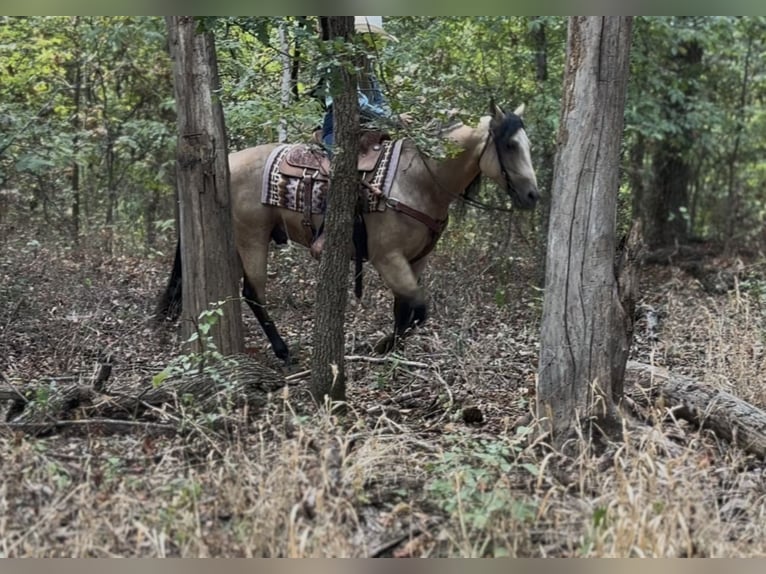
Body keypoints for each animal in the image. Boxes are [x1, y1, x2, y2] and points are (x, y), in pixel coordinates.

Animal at [157, 101, 540, 362]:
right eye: (509, 145)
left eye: (528, 144)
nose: (533, 195)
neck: (420, 178)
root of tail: (227, 164)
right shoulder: (388, 258)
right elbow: (418, 308)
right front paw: (384, 346)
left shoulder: (416, 260)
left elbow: (407, 310)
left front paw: (389, 349)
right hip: (251, 238)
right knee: (253, 292)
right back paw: (283, 351)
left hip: (238, 242)